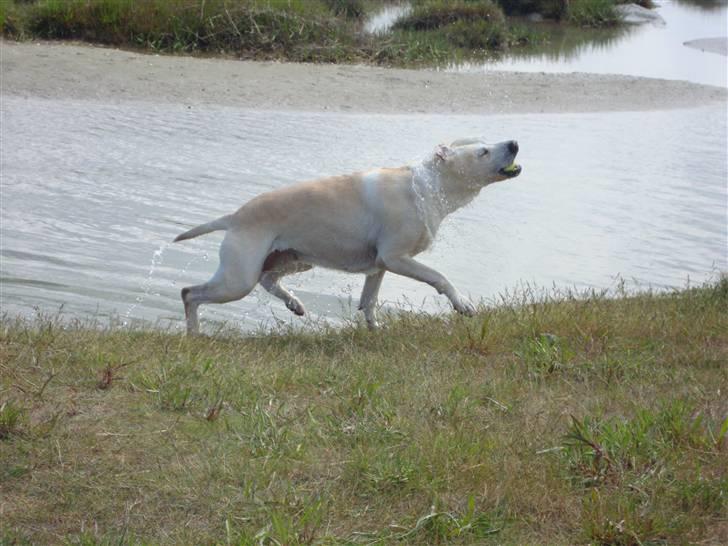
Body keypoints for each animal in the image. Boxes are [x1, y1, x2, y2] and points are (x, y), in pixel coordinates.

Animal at [173, 137, 520, 332]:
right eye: (483, 151)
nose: (514, 144)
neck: (427, 186)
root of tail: (234, 217)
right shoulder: (396, 258)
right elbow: (440, 277)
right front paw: (463, 305)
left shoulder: (379, 266)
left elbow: (369, 302)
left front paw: (375, 332)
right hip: (238, 278)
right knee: (190, 293)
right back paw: (194, 334)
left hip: (293, 259)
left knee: (267, 280)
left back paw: (294, 304)